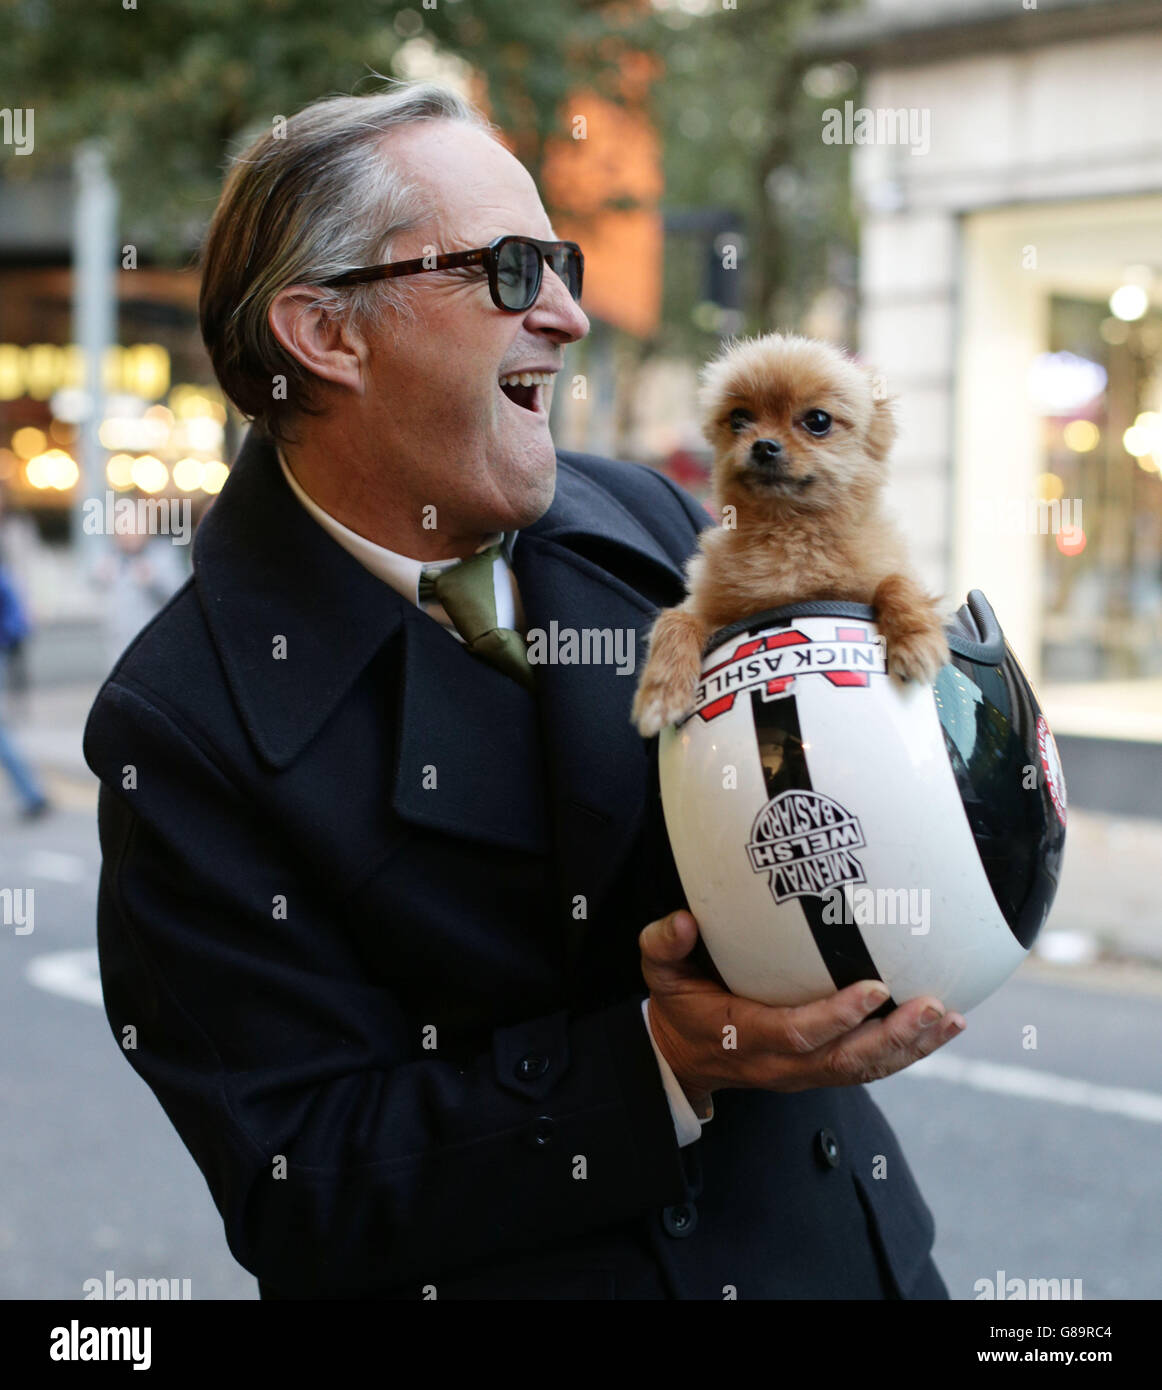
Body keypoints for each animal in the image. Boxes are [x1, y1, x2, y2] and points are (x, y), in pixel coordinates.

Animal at [631, 332, 950, 739]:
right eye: (739, 419)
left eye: (818, 421)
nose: (763, 445)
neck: (789, 532)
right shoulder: (709, 612)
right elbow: (676, 620)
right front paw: (661, 691)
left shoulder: (880, 572)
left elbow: (896, 582)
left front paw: (915, 638)